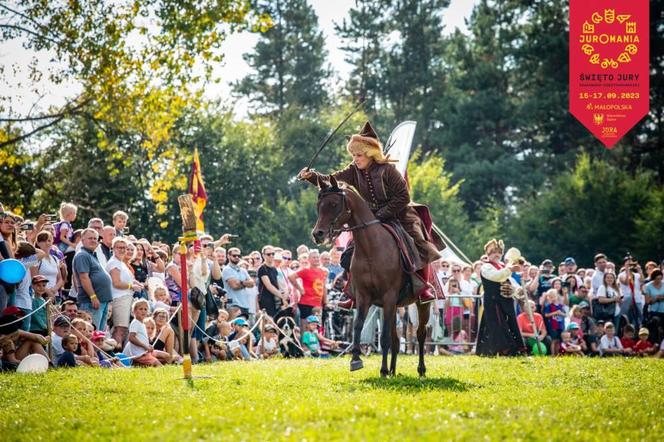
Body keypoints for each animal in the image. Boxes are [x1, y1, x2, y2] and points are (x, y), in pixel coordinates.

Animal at [312, 175, 430, 376]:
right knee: (396, 340)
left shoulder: (389, 296)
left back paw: (420, 369)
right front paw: (356, 360)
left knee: (420, 333)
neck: (371, 249)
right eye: (319, 205)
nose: (318, 234)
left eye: (334, 204)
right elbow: (358, 326)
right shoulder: (364, 296)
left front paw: (382, 370)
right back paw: (393, 370)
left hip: (422, 304)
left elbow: (383, 337)